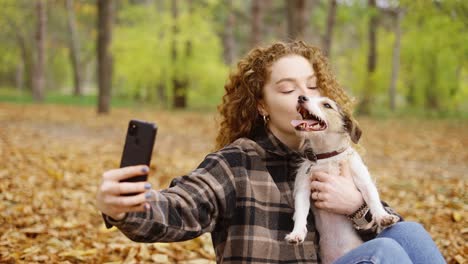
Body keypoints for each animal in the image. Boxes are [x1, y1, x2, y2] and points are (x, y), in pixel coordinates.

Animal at [284, 96, 396, 262]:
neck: (327, 156)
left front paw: (383, 217)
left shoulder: (364, 180)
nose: (301, 97)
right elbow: (300, 213)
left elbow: (373, 200)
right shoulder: (302, 190)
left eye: (326, 105)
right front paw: (296, 233)